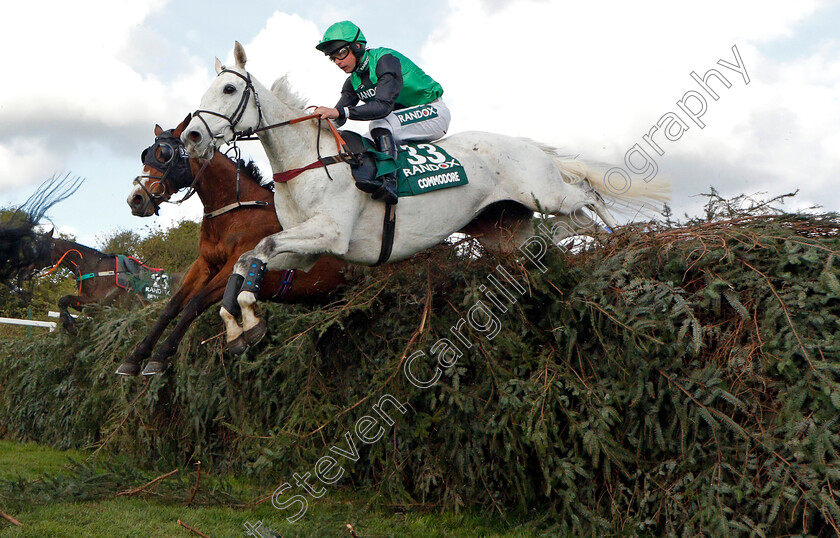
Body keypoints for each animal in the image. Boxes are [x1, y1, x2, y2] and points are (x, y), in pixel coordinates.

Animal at [117, 114, 348, 372]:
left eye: (164, 154)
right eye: (145, 154)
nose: (136, 199)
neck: (236, 211)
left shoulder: (234, 265)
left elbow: (195, 303)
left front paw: (161, 354)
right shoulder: (205, 264)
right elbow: (172, 306)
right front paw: (135, 356)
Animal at [184, 43, 668, 352]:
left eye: (228, 90)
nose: (192, 136)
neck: (306, 162)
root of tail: (523, 143)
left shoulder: (331, 234)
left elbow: (259, 248)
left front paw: (245, 318)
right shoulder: (306, 251)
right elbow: (249, 259)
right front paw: (241, 327)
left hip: (545, 194)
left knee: (587, 195)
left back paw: (622, 240)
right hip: (504, 230)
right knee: (565, 228)